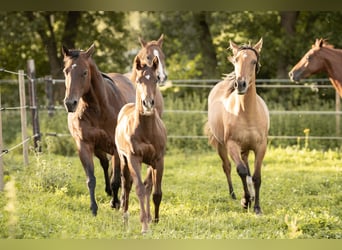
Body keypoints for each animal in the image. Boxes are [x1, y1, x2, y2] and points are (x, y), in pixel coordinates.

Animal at [62, 44, 135, 216]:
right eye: (65, 71)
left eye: (84, 72)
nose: (70, 103)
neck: (99, 108)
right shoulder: (84, 145)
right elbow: (91, 179)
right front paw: (93, 208)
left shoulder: (115, 148)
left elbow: (117, 179)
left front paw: (115, 203)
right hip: (99, 148)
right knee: (105, 164)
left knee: (124, 175)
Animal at [115, 55, 168, 233]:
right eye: (139, 80)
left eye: (156, 79)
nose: (148, 103)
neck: (146, 131)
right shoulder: (134, 159)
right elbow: (138, 189)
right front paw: (144, 226)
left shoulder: (158, 160)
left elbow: (156, 192)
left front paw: (155, 220)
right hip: (123, 161)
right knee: (126, 186)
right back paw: (125, 218)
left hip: (149, 163)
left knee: (148, 186)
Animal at [206, 38, 270, 214]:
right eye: (236, 60)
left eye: (254, 61)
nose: (240, 84)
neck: (246, 113)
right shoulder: (231, 145)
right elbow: (240, 170)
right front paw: (245, 201)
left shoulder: (261, 146)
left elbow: (256, 176)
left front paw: (257, 207)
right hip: (221, 145)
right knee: (227, 167)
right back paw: (234, 194)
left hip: (246, 149)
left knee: (246, 167)